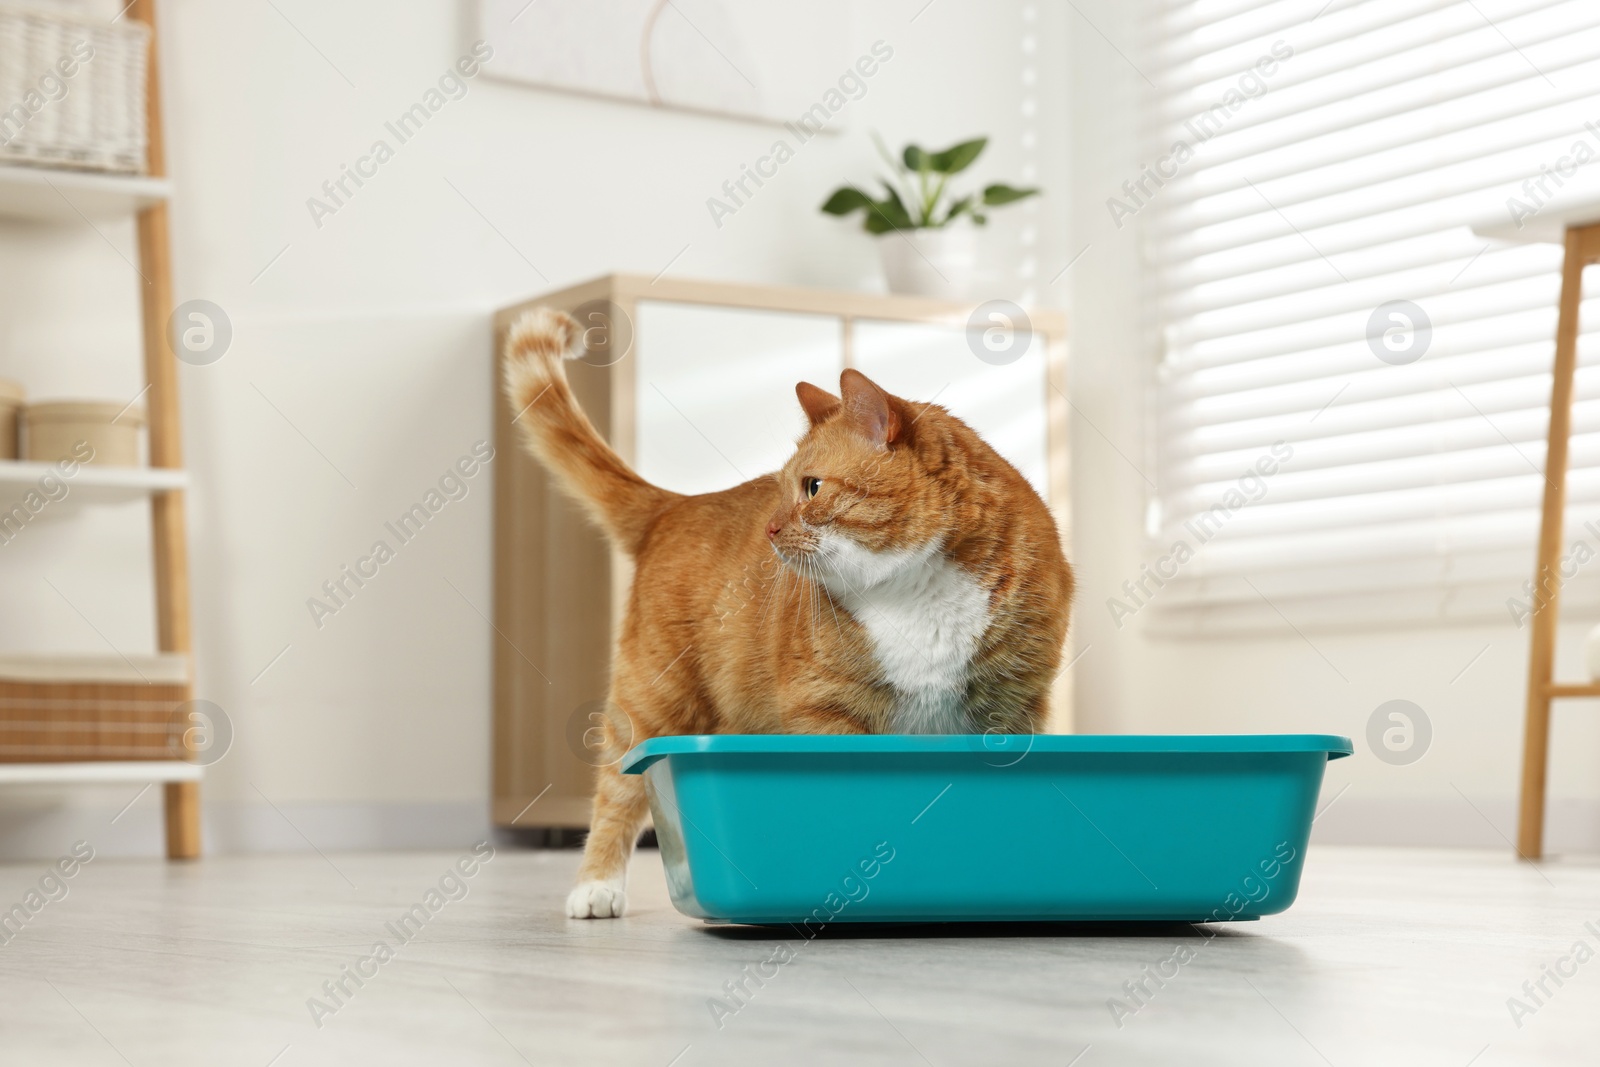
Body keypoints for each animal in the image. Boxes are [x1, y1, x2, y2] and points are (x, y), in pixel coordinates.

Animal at [502, 308, 1075, 921]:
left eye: (813, 487)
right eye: (780, 491)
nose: (771, 529)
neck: (916, 591)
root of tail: (678, 504)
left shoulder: (1012, 707)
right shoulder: (826, 710)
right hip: (653, 699)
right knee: (617, 787)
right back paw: (596, 887)